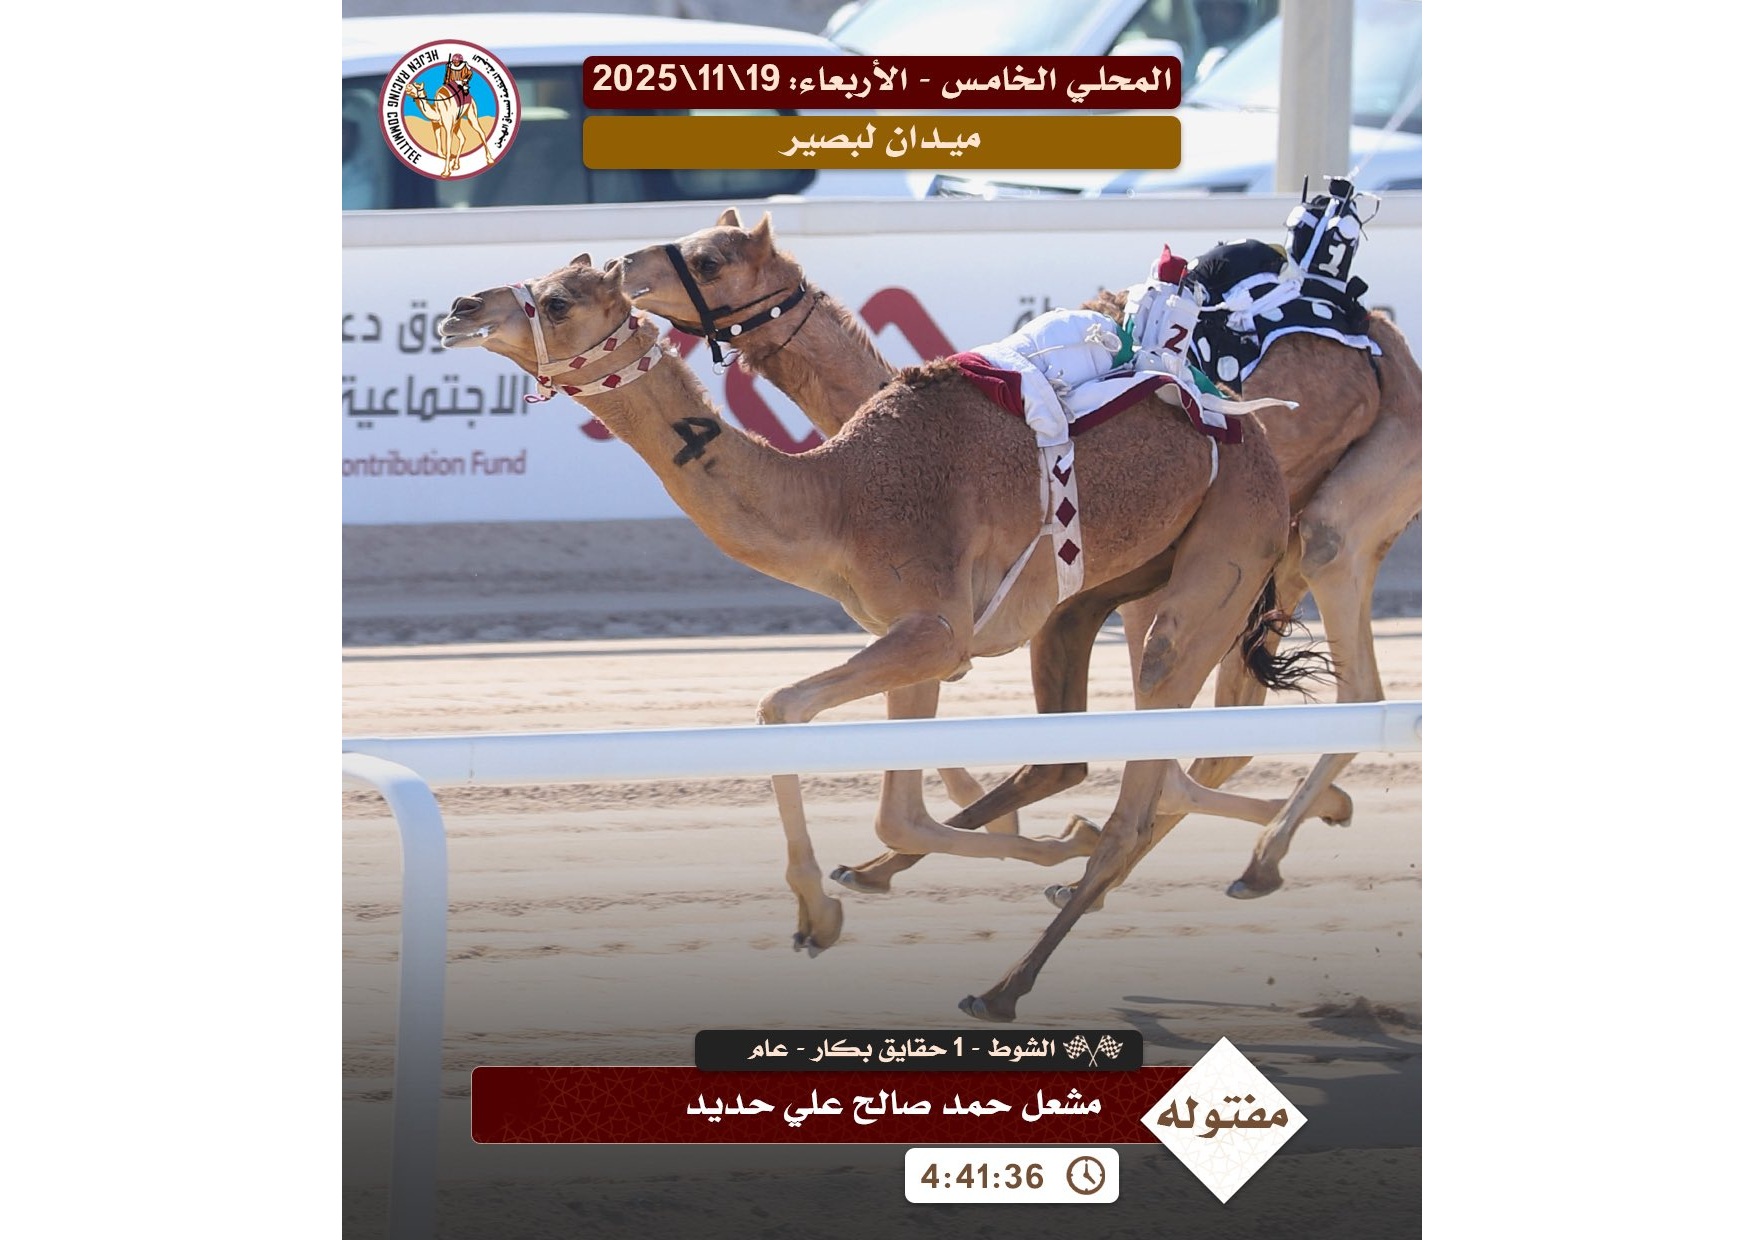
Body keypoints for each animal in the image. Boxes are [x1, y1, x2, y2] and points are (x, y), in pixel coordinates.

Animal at [437, 252, 1313, 1021]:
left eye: (558, 301)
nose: (459, 308)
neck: (839, 497)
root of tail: (1262, 447)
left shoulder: (934, 629)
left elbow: (788, 713)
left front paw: (825, 911)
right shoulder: (919, 637)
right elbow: (893, 804)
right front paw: (837, 906)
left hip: (1222, 555)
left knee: (1148, 752)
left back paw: (1006, 985)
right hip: (1090, 598)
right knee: (1092, 755)